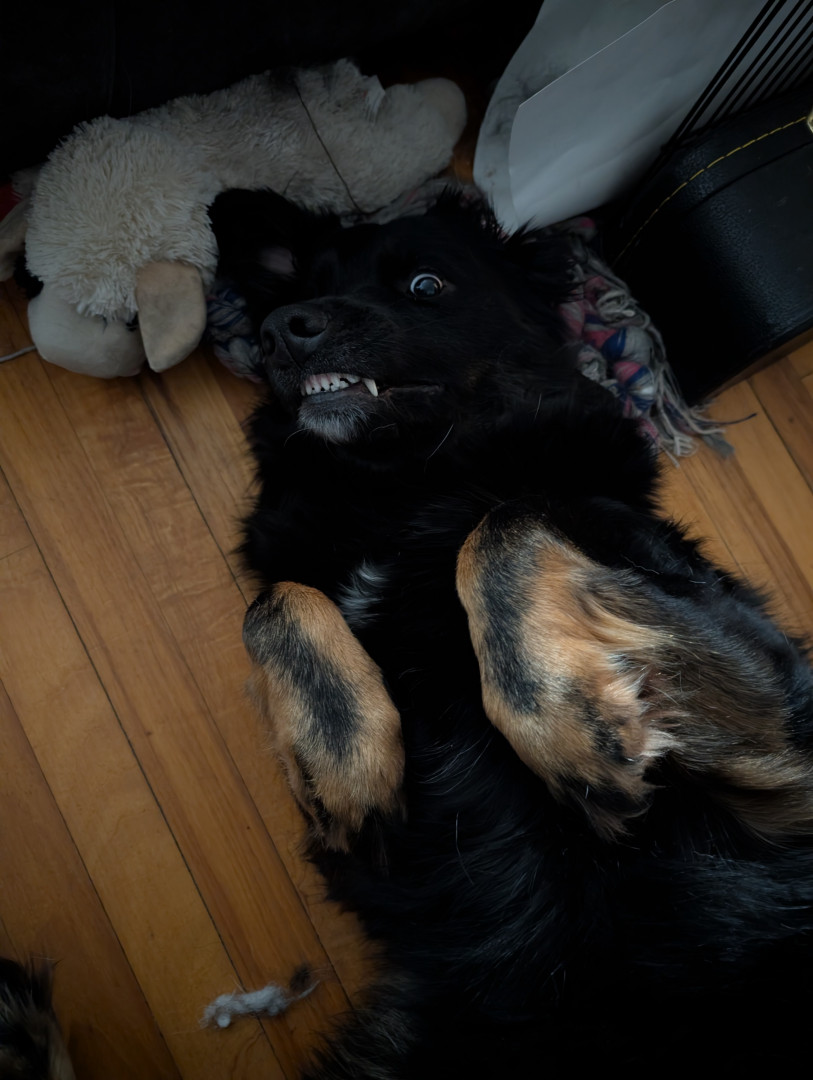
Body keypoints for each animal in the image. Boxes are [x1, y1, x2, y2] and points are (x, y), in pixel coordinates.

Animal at [211, 188, 813, 1076]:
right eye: (306, 287)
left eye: (425, 285)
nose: (285, 327)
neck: (406, 486)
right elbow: (275, 601)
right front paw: (342, 763)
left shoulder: (781, 734)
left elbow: (503, 519)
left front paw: (572, 722)